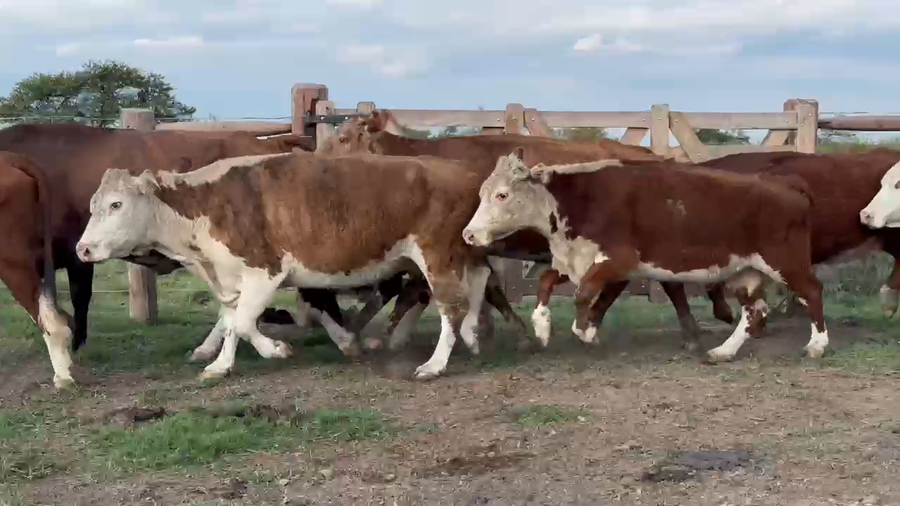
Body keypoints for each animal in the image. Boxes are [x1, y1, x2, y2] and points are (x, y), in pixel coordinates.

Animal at [75, 151, 500, 380]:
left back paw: (435, 363)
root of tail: (464, 173)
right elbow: (231, 320)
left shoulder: (264, 272)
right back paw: (473, 335)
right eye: (93, 204)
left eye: (116, 204)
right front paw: (220, 365)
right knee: (479, 281)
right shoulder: (229, 277)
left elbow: (244, 323)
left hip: (436, 254)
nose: (83, 249)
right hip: (462, 251)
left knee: (450, 306)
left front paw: (277, 349)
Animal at [462, 150, 829, 363]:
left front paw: (587, 331)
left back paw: (817, 345)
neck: (581, 199)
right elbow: (546, 281)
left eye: (502, 194)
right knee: (755, 310)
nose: (469, 234)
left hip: (786, 261)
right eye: (482, 193)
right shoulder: (576, 258)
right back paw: (724, 351)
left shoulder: (618, 261)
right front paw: (542, 327)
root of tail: (786, 183)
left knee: (812, 291)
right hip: (746, 269)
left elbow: (583, 294)